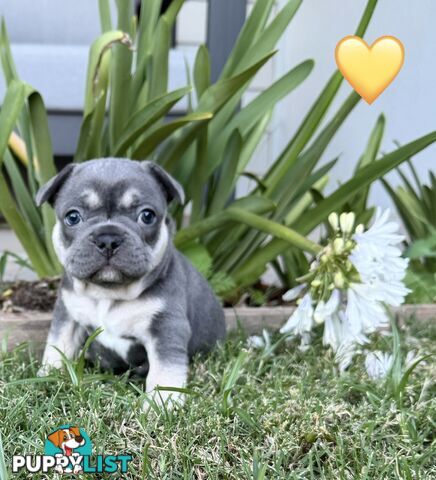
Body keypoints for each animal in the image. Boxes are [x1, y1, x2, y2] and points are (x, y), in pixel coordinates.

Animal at [36, 158, 225, 404]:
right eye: (73, 217)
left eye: (147, 216)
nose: (108, 238)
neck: (108, 294)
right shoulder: (68, 315)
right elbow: (58, 345)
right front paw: (47, 376)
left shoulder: (166, 327)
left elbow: (165, 369)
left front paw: (162, 403)